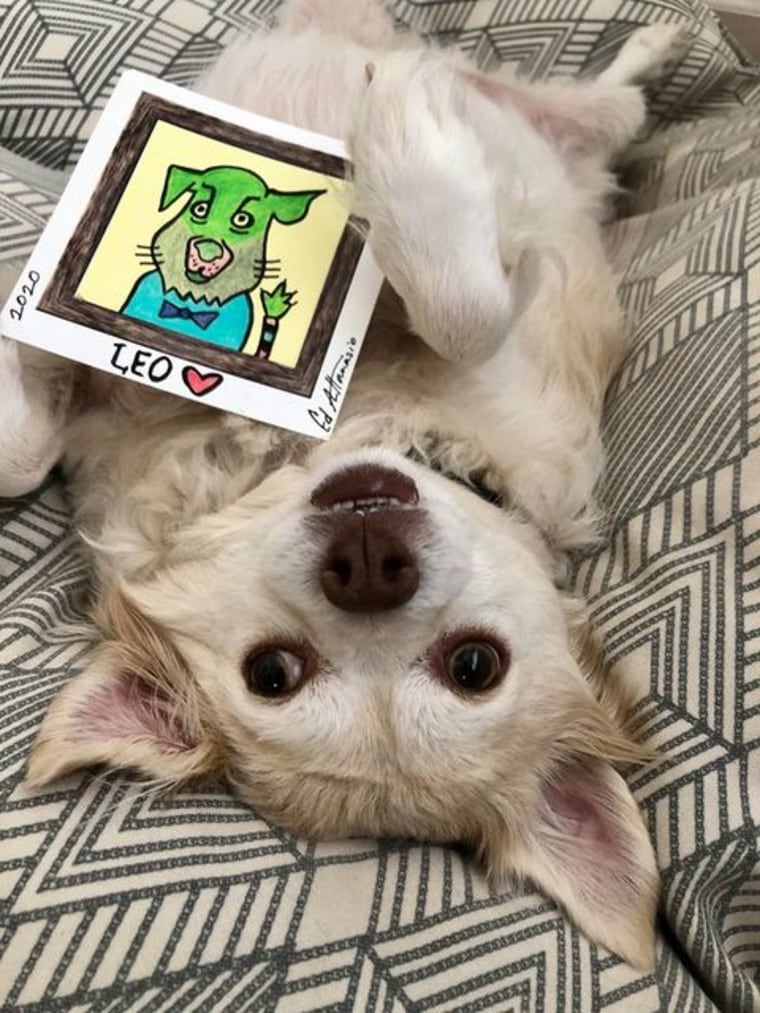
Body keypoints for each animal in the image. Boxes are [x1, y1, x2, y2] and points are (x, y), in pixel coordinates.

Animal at [0, 0, 685, 964]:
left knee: (600, 108)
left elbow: (463, 315)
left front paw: (398, 139)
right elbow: (20, 452)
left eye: (474, 664)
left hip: (579, 135)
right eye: (272, 673)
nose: (368, 563)